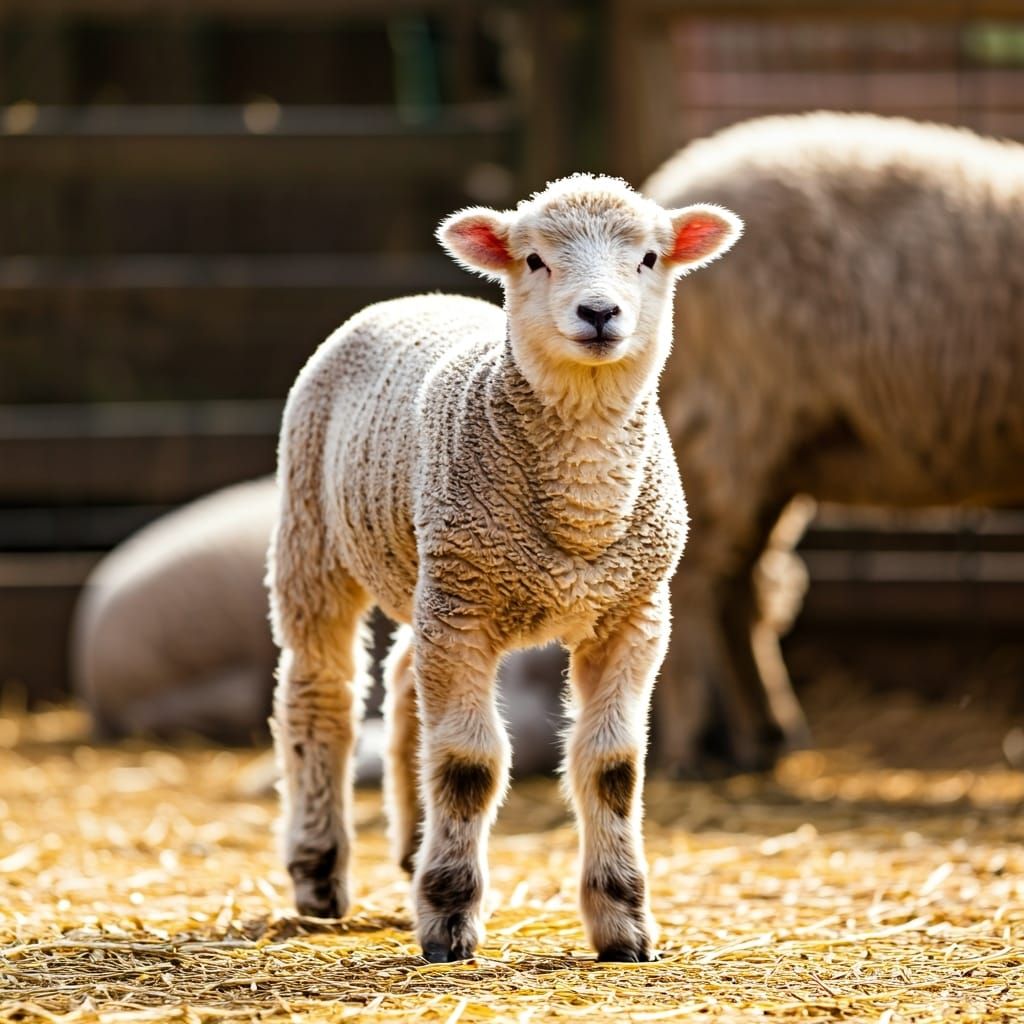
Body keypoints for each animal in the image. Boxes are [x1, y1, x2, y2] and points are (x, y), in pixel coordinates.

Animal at [268, 174, 742, 962]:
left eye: (648, 257)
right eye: (534, 260)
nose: (599, 313)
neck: (582, 510)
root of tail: (419, 297)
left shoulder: (634, 614)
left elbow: (612, 767)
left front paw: (624, 925)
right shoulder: (466, 611)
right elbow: (469, 766)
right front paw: (450, 921)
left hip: (431, 570)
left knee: (404, 683)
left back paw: (412, 849)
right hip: (316, 531)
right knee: (319, 693)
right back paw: (318, 871)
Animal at [642, 112, 1024, 776]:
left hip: (775, 456)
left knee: (738, 588)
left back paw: (768, 736)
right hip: (733, 419)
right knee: (695, 584)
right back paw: (693, 749)